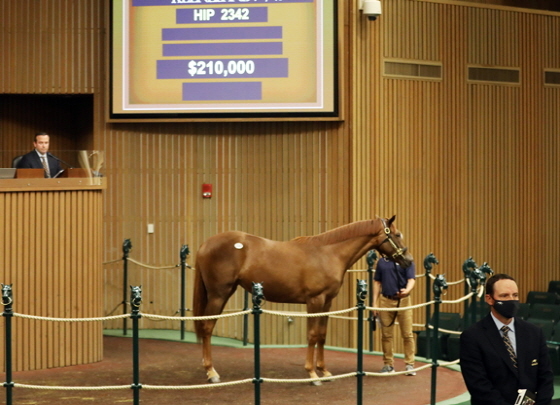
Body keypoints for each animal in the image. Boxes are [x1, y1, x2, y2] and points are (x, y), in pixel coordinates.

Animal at [192, 215, 412, 382]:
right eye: (397, 234)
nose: (408, 261)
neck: (328, 253)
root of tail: (205, 244)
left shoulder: (327, 302)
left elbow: (322, 335)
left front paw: (324, 371)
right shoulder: (315, 301)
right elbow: (312, 335)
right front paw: (312, 374)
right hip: (218, 295)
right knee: (207, 328)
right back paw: (211, 372)